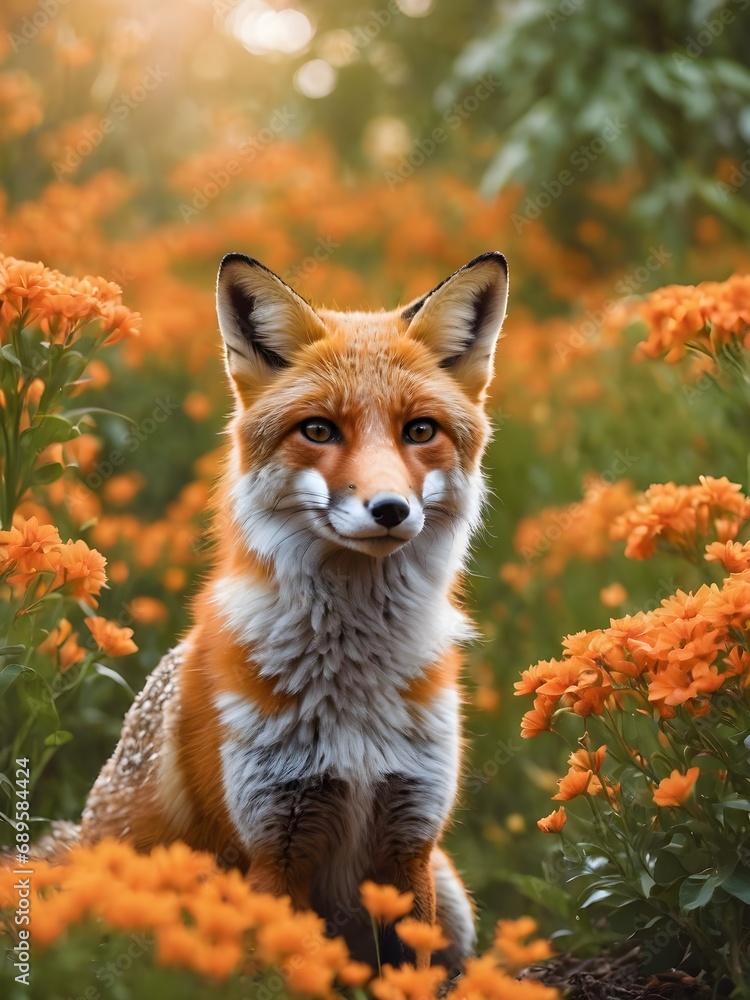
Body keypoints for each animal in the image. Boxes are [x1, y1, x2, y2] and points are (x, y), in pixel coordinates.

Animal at [78, 250, 509, 970]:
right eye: (318, 430)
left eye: (420, 430)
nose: (389, 509)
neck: (355, 691)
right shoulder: (273, 846)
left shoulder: (410, 839)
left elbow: (410, 974)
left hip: (453, 900)